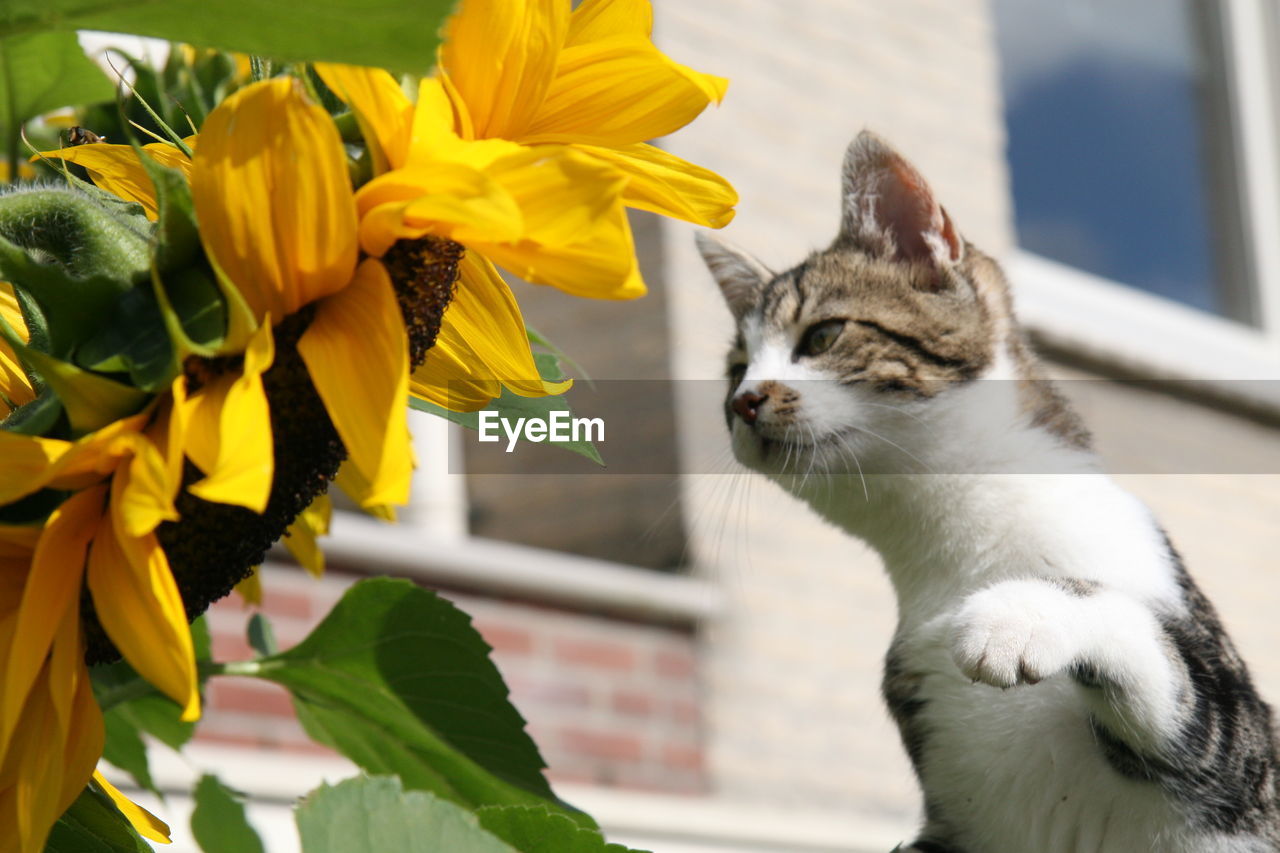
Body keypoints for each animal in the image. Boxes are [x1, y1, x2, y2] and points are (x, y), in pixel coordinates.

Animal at [696, 129, 1280, 845]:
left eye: (824, 334)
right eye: (734, 371)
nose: (744, 402)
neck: (964, 537)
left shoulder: (1244, 756)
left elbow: (1165, 659)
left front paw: (1020, 613)